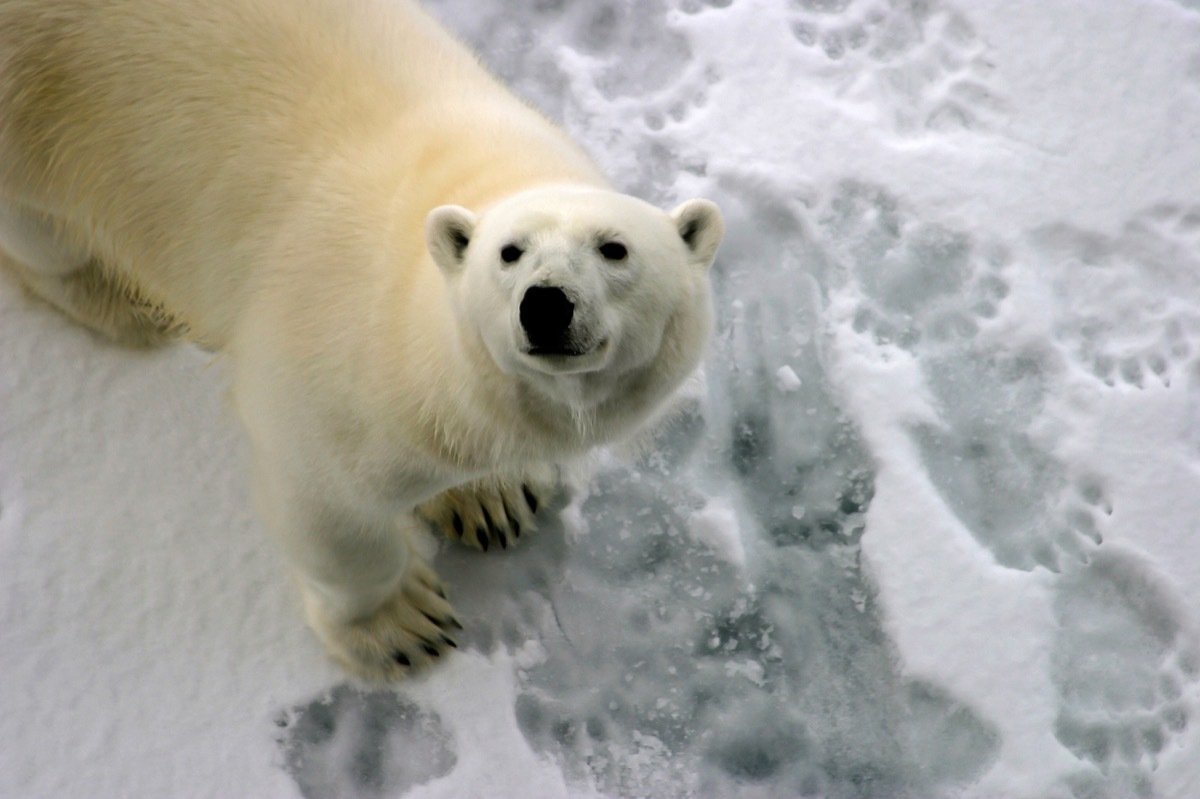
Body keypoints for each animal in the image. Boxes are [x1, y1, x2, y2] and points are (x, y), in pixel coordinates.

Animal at [0, 0, 720, 676]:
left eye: (614, 248)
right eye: (509, 252)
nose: (545, 305)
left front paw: (492, 497)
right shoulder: (332, 367)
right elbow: (331, 511)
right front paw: (402, 627)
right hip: (35, 112)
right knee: (41, 226)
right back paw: (120, 298)